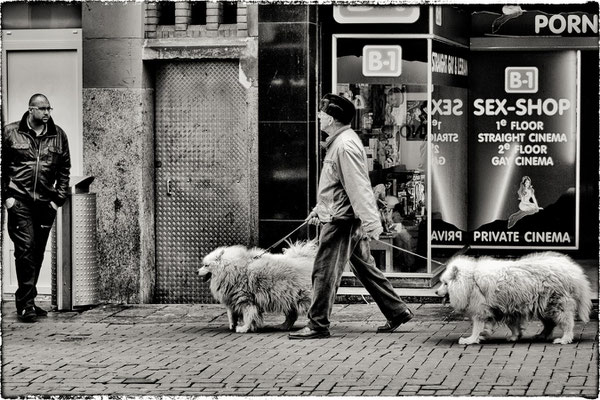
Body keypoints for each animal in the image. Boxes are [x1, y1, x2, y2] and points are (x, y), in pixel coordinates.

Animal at [434, 252, 592, 346]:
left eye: (445, 283)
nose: (435, 292)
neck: (470, 281)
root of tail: (574, 272)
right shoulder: (506, 308)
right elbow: (512, 325)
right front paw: (514, 336)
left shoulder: (481, 310)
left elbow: (477, 328)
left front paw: (470, 340)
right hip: (543, 306)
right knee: (549, 324)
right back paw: (542, 335)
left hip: (556, 304)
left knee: (567, 322)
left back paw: (564, 339)